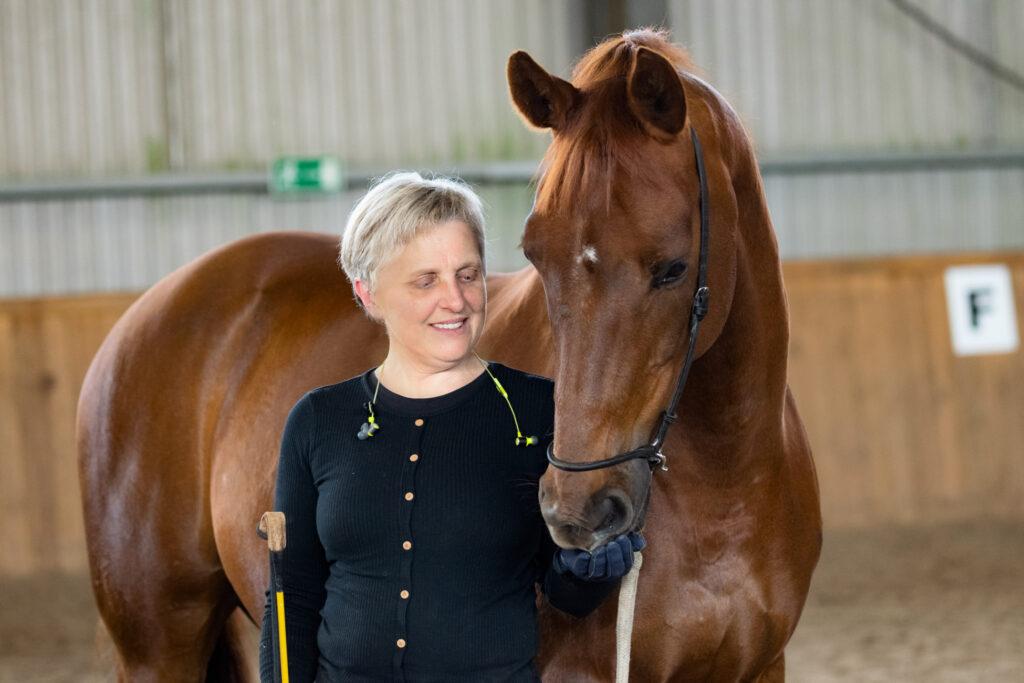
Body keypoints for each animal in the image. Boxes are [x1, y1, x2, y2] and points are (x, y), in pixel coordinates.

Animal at [75, 29, 819, 679]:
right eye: (536, 255)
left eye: (672, 268)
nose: (575, 514)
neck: (723, 484)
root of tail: (137, 323)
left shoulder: (762, 668)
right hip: (158, 648)